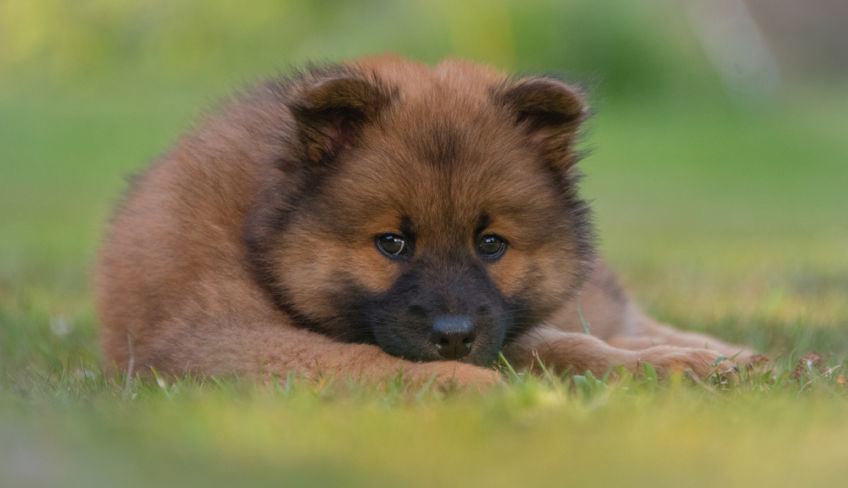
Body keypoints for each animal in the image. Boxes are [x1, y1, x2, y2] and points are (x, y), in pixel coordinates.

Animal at [96, 56, 760, 386]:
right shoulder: (214, 339)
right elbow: (360, 360)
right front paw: (469, 382)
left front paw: (677, 364)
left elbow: (566, 342)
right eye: (391, 243)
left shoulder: (502, 321)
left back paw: (725, 355)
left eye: (491, 244)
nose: (455, 336)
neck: (259, 235)